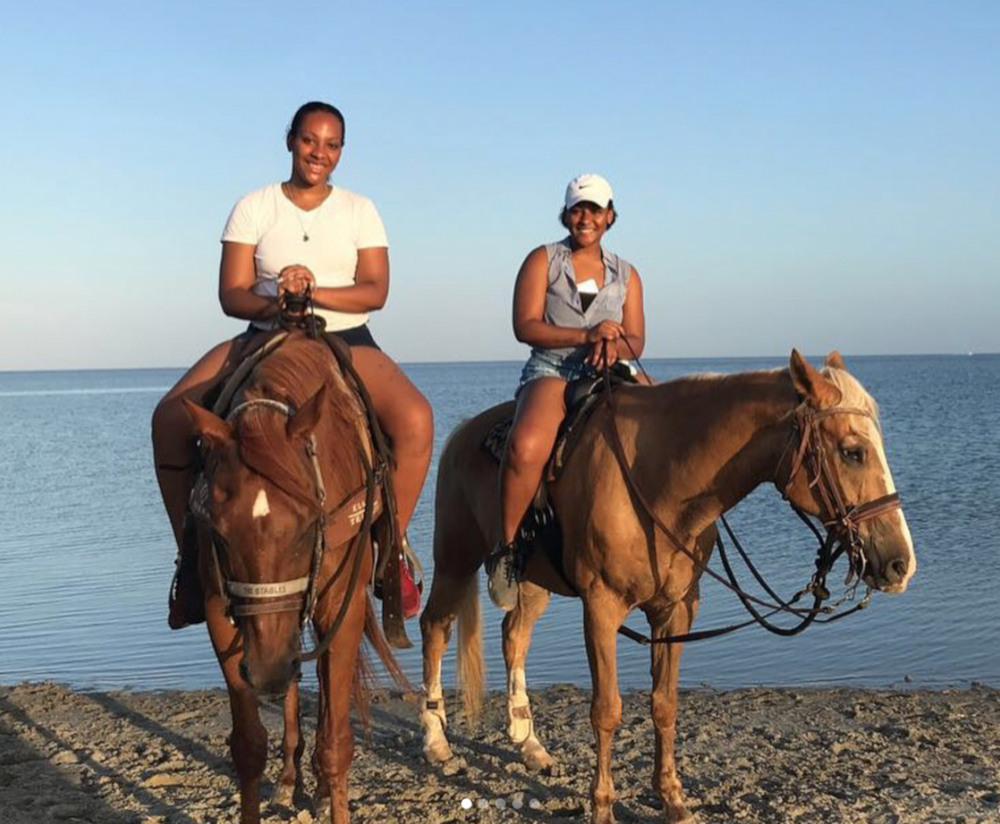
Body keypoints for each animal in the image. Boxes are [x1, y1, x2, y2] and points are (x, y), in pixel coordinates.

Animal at [184, 334, 402, 824]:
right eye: (220, 534)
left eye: (307, 525)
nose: (265, 669)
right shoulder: (220, 609)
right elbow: (247, 747)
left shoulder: (342, 607)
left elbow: (336, 744)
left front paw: (328, 787)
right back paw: (289, 780)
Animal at [418, 352, 916, 824]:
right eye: (853, 452)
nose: (901, 563)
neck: (658, 483)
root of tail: (463, 431)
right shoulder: (600, 610)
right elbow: (607, 710)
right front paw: (602, 806)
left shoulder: (675, 611)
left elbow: (664, 705)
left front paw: (673, 799)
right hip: (454, 560)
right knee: (435, 627)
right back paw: (436, 740)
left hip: (536, 581)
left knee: (514, 636)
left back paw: (528, 743)